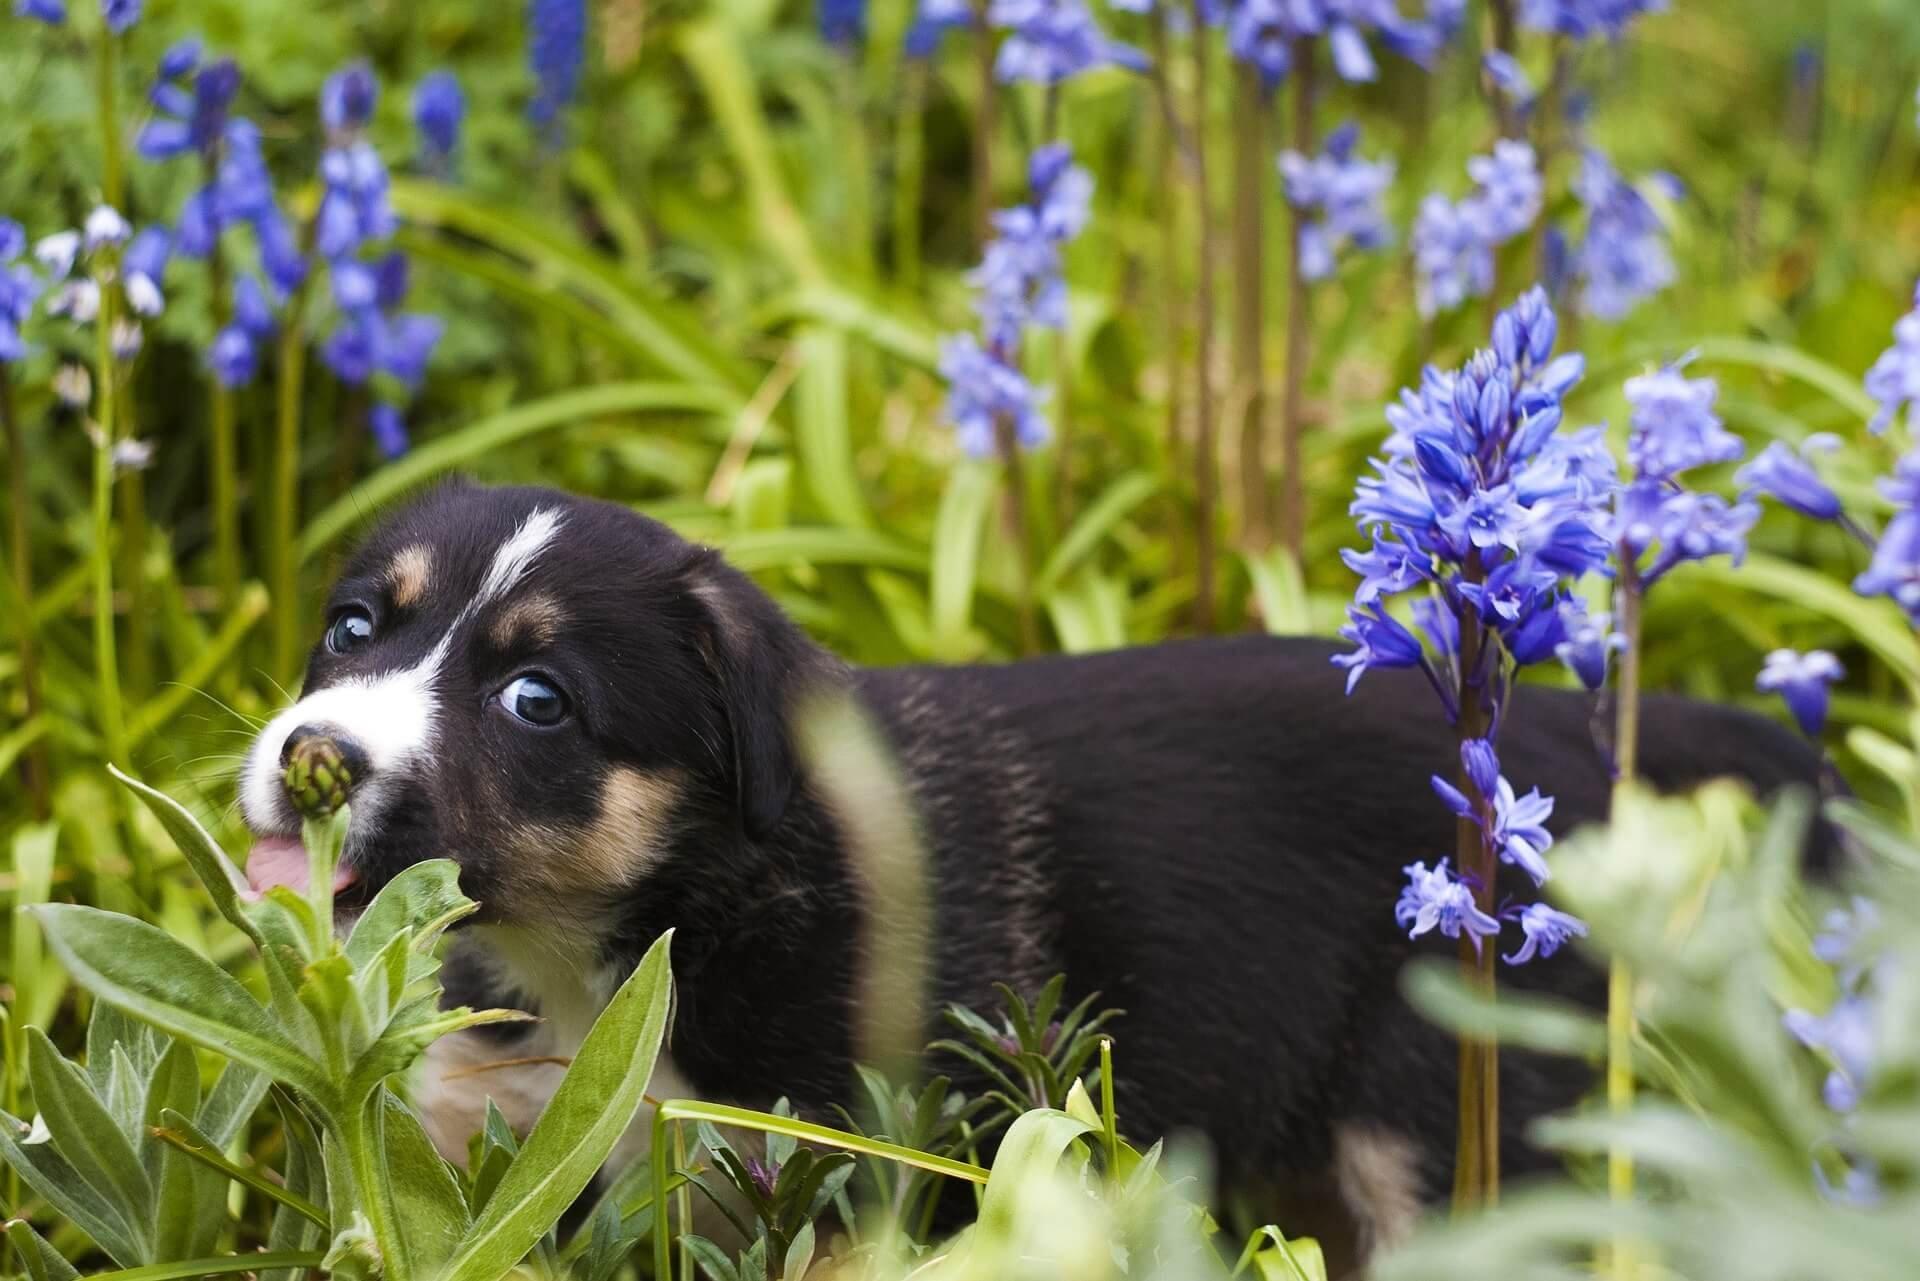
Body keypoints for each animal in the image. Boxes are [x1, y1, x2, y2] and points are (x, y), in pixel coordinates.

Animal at [243, 478, 1827, 1259]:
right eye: (351, 627)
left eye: (538, 702)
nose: (309, 757)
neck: (626, 946)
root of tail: (1554, 742)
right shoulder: (485, 1146)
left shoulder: (868, 1176)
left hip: (1445, 1121)